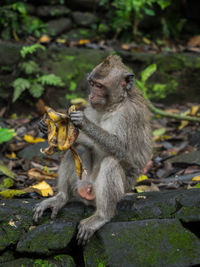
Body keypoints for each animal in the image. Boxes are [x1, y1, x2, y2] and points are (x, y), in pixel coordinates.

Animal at [33, 55, 152, 246]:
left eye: (100, 86)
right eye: (92, 83)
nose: (91, 94)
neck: (114, 105)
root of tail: (88, 190)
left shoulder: (130, 115)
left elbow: (122, 149)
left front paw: (83, 122)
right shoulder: (92, 106)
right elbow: (84, 143)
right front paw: (45, 127)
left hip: (109, 192)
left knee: (111, 163)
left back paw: (102, 216)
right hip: (83, 181)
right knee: (77, 150)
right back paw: (62, 197)